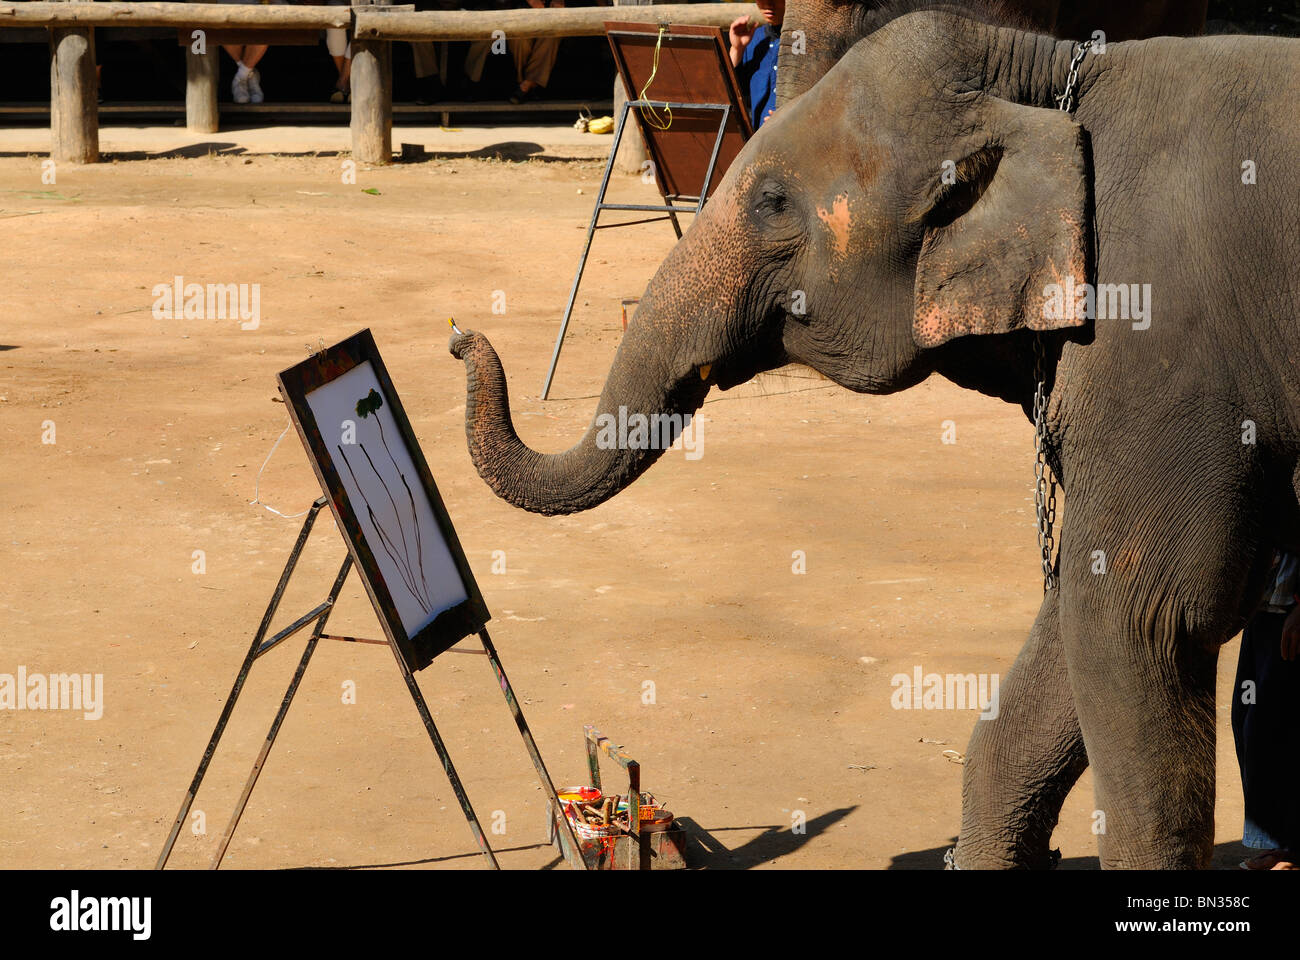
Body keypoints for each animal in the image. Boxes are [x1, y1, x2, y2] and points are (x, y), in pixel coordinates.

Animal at [451, 0, 1300, 868]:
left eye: (771, 202)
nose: (460, 338)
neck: (1046, 75)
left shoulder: (1165, 351)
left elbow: (1138, 615)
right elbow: (1075, 613)